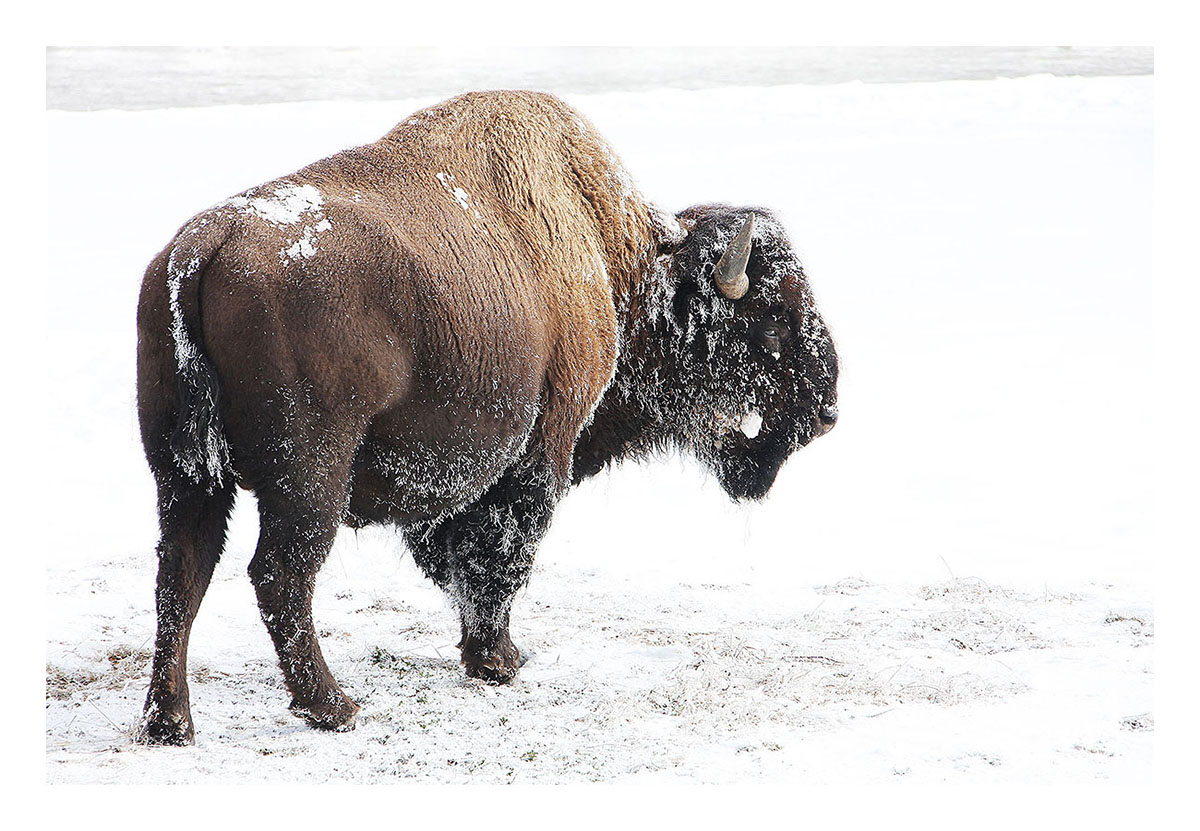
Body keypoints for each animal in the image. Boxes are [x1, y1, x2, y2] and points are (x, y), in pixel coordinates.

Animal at [135, 90, 838, 744]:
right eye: (772, 320)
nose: (825, 409)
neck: (621, 265)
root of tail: (201, 250)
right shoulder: (541, 451)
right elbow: (500, 554)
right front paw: (499, 660)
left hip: (185, 476)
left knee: (182, 575)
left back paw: (170, 722)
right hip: (309, 481)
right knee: (279, 577)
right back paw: (333, 707)